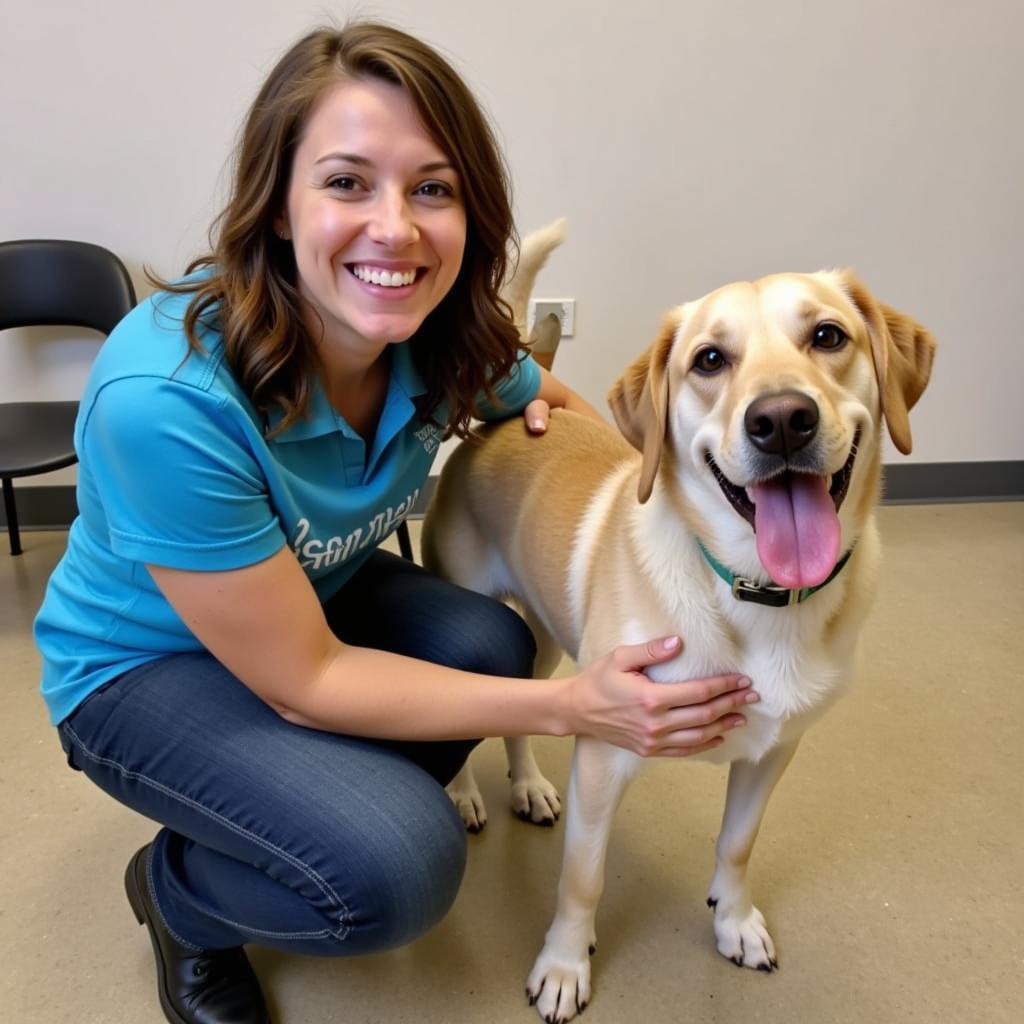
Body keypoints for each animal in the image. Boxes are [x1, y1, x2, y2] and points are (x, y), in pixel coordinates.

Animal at [417, 220, 937, 1019]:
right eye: (709, 360)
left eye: (827, 335)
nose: (781, 421)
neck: (750, 590)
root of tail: (507, 418)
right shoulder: (605, 754)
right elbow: (583, 880)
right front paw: (563, 965)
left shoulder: (773, 751)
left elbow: (737, 845)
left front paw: (735, 921)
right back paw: (464, 793)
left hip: (544, 639)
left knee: (520, 706)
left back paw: (527, 784)